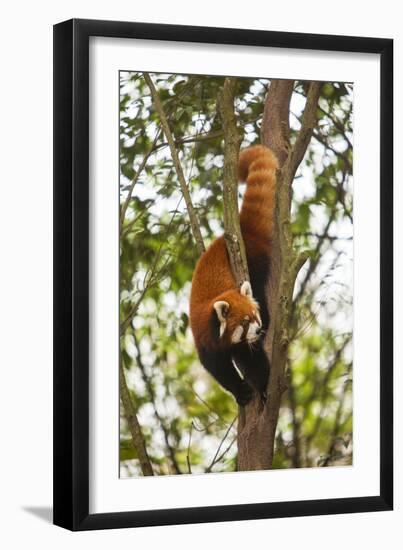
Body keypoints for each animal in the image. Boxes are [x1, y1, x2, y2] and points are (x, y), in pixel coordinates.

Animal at [191, 146, 280, 406]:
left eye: (254, 315)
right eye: (244, 322)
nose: (258, 330)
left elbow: (253, 359)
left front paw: (263, 385)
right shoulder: (206, 341)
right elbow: (218, 369)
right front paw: (240, 391)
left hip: (255, 264)